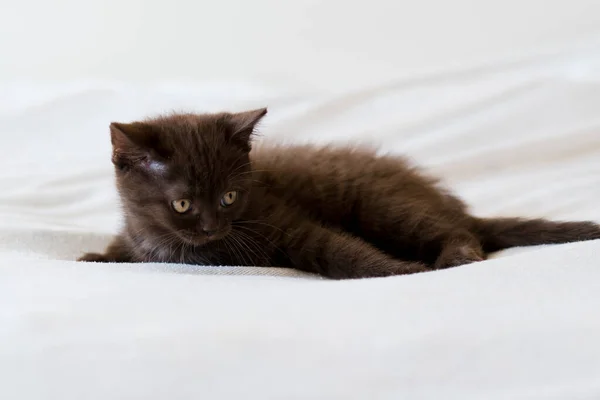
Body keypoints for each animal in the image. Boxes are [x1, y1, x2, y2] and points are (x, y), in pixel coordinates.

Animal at [77, 108, 600, 280]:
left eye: (229, 197)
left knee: (453, 231)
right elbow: (120, 249)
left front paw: (402, 272)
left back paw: (456, 256)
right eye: (183, 204)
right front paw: (97, 257)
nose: (212, 227)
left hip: (380, 204)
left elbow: (342, 251)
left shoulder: (284, 222)